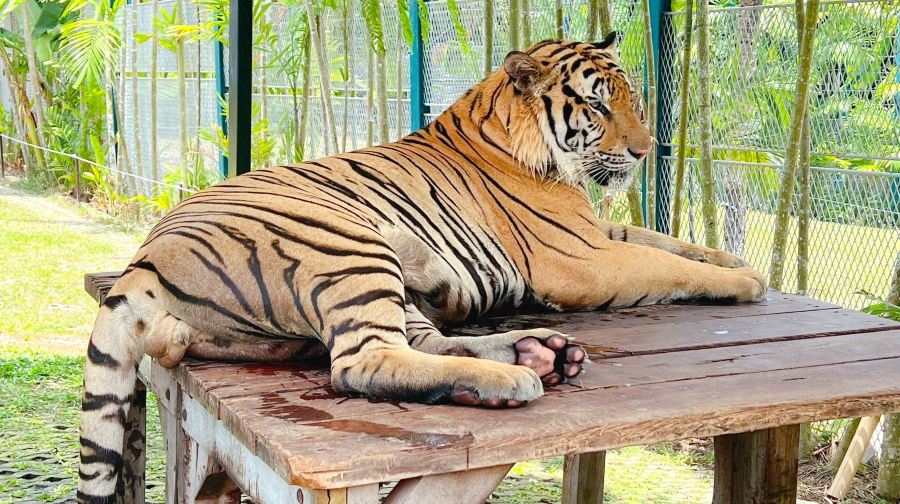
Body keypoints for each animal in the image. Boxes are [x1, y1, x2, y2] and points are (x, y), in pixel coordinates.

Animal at [77, 33, 766, 502]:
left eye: (635, 101)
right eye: (597, 108)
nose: (645, 152)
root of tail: (142, 260)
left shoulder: (594, 231)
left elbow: (666, 240)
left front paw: (737, 258)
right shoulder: (579, 256)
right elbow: (662, 263)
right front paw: (744, 281)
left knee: (422, 342)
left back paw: (537, 353)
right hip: (349, 245)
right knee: (362, 363)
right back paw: (518, 377)